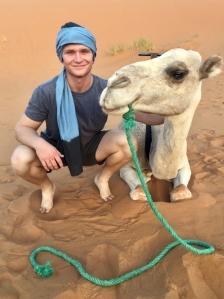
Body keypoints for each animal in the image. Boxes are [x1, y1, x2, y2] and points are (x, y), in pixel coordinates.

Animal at [99, 49, 222, 203]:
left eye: (178, 73)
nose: (112, 83)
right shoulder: (126, 167)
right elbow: (139, 192)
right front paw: (145, 178)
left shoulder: (184, 166)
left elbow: (181, 192)